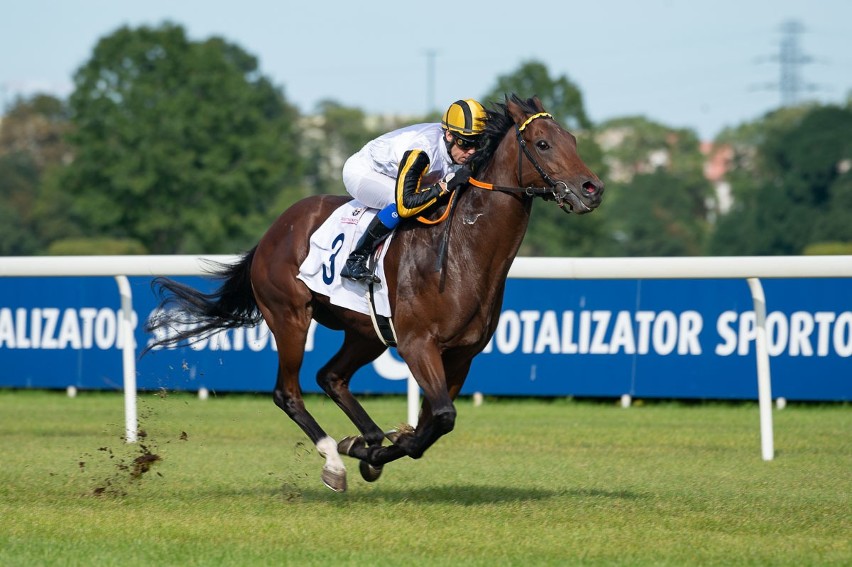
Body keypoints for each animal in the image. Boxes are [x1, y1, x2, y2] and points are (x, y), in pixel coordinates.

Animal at [143, 94, 604, 492]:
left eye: (573, 139)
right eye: (543, 143)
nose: (592, 188)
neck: (464, 252)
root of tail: (275, 229)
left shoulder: (460, 357)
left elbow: (433, 423)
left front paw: (373, 448)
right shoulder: (418, 344)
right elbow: (440, 418)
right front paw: (373, 450)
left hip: (367, 332)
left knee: (331, 377)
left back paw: (364, 438)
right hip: (290, 316)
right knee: (288, 392)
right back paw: (334, 459)